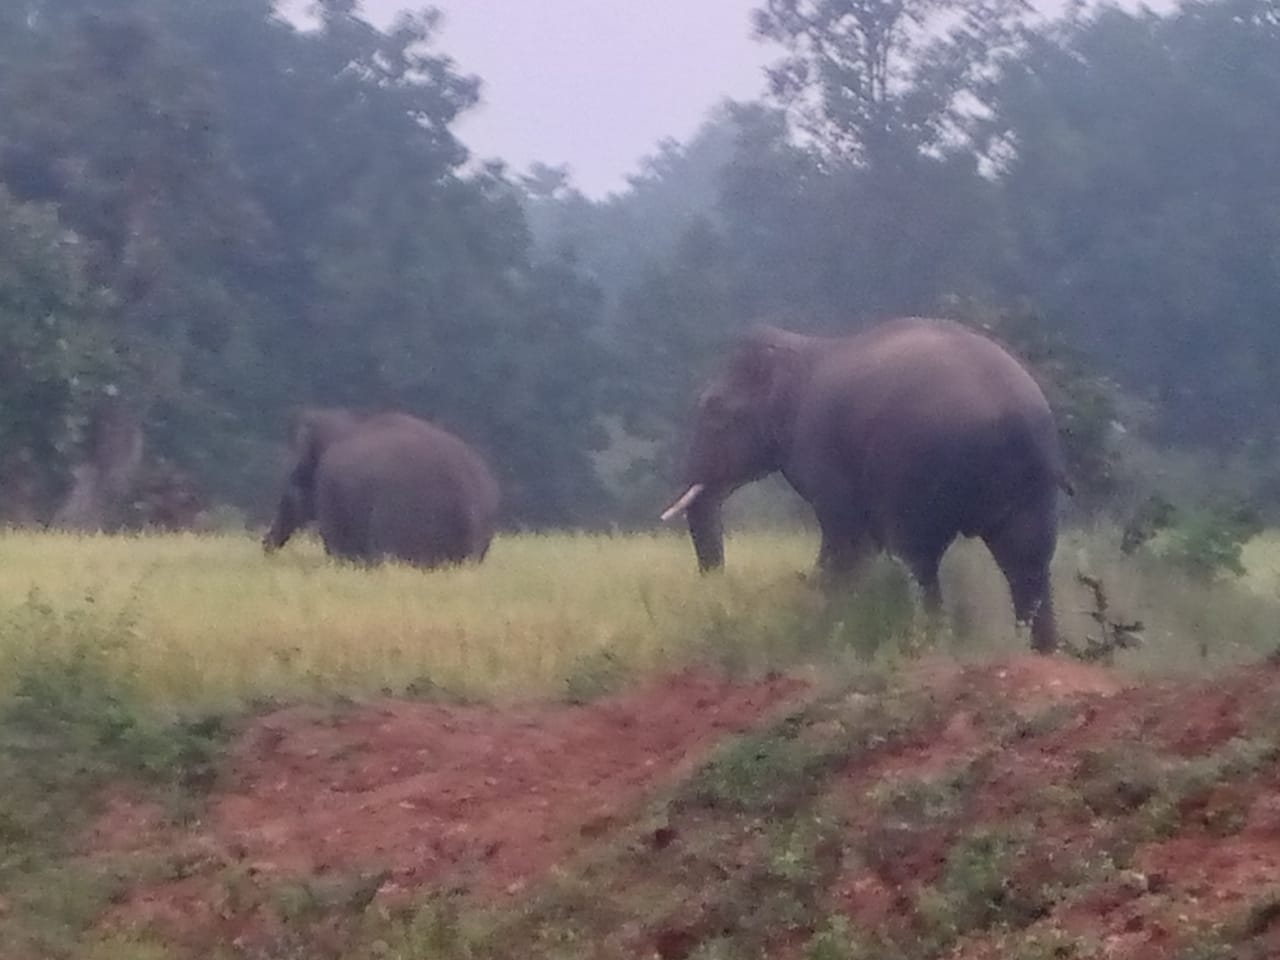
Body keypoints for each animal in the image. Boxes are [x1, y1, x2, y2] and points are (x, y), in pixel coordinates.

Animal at [660, 318, 1070, 653]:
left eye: (714, 410)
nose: (718, 597)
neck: (805, 348)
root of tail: (1015, 417)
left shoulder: (817, 445)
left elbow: (847, 534)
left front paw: (825, 620)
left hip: (916, 467)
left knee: (915, 555)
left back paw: (927, 641)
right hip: (1030, 490)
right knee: (1027, 557)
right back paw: (1040, 652)